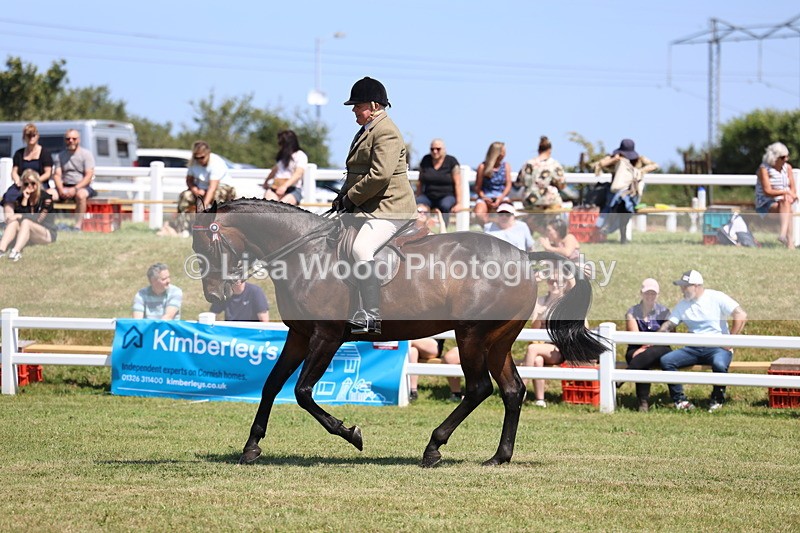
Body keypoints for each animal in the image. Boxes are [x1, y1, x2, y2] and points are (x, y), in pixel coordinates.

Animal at [191, 198, 605, 467]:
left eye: (207, 244)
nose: (215, 295)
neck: (304, 255)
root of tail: (522, 256)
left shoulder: (326, 337)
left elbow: (303, 392)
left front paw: (351, 433)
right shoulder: (299, 336)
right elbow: (271, 386)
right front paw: (250, 447)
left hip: (471, 335)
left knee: (478, 388)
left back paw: (434, 448)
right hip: (498, 341)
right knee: (512, 390)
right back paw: (499, 457)